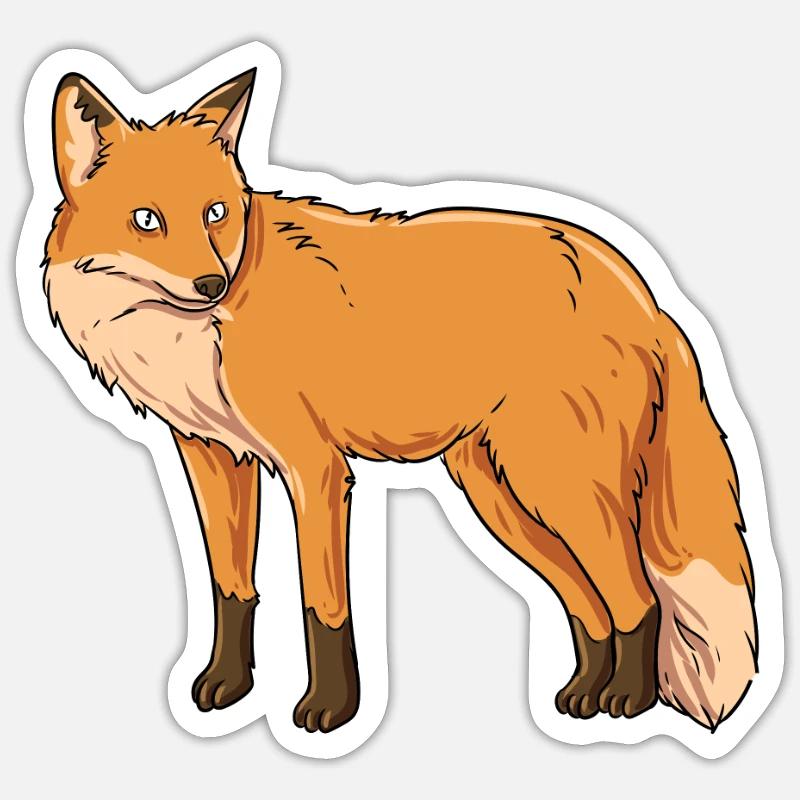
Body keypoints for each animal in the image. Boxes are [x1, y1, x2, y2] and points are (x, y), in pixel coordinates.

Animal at [42, 67, 757, 735]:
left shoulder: (315, 468)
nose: (213, 283)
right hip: (500, 495)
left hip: (559, 487)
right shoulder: (213, 456)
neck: (195, 339)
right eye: (147, 220)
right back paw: (583, 694)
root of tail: (648, 292)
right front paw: (229, 686)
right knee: (590, 605)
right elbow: (231, 586)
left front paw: (332, 708)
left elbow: (323, 605)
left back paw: (628, 701)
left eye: (215, 213)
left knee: (638, 600)